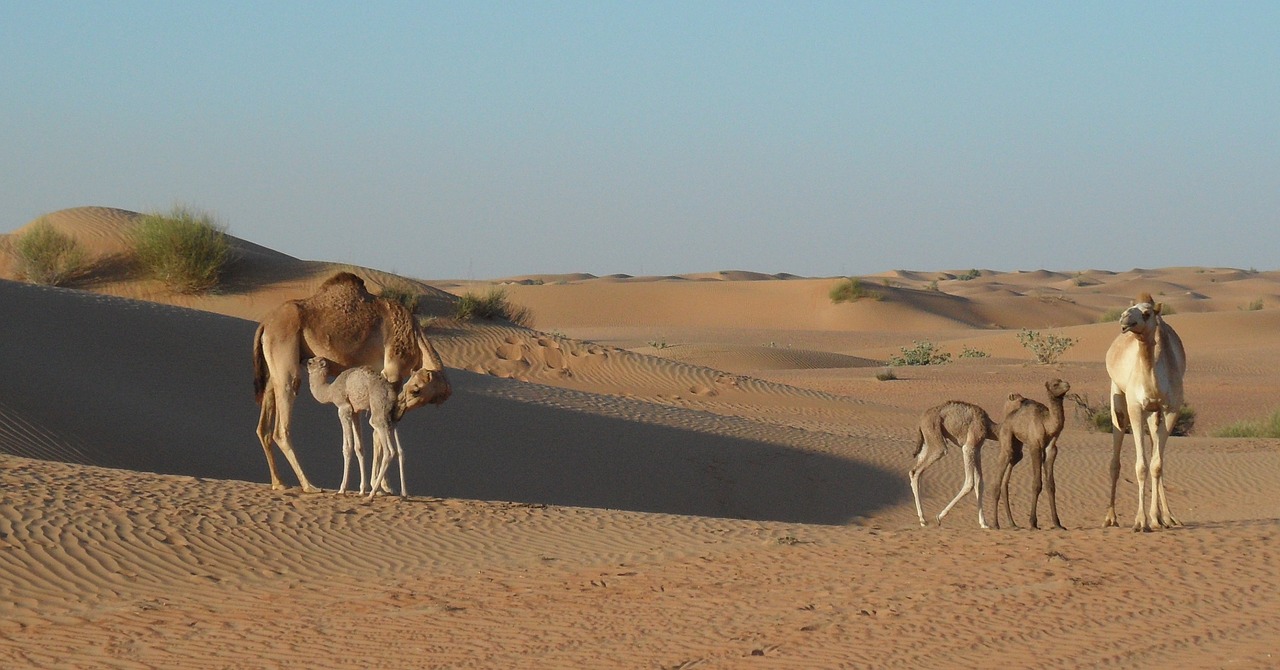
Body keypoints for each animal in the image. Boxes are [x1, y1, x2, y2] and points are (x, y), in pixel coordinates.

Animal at [252, 271, 453, 491]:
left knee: (264, 426)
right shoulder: (393, 372)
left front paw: (375, 485)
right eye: (414, 389)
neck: (415, 336)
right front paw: (382, 487)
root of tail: (265, 324)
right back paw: (308, 485)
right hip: (286, 362)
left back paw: (279, 482)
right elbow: (378, 427)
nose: (399, 409)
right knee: (282, 427)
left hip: (272, 371)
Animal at [911, 402, 998, 532]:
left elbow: (979, 483)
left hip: (926, 442)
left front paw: (984, 523)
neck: (988, 426)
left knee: (916, 471)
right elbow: (969, 483)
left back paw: (923, 520)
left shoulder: (977, 450)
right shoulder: (968, 447)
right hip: (936, 438)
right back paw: (923, 519)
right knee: (917, 471)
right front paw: (939, 517)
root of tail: (921, 421)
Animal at [988, 379, 1070, 532]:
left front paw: (1058, 524)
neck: (1046, 423)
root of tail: (1006, 420)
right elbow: (1037, 484)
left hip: (1017, 450)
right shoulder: (1035, 446)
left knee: (1007, 475)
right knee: (1001, 469)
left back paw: (1013, 524)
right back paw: (995, 524)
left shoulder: (1051, 450)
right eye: (1055, 384)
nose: (1067, 385)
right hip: (1006, 436)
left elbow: (1051, 485)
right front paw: (1033, 523)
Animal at [1100, 293, 1187, 535]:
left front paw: (1157, 518)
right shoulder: (1135, 407)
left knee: (1156, 453)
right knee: (1115, 459)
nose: (1124, 318)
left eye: (1147, 313)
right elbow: (1141, 466)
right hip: (1118, 396)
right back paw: (1110, 518)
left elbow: (1157, 465)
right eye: (1130, 309)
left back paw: (1166, 517)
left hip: (1154, 414)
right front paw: (1140, 521)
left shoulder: (1171, 409)